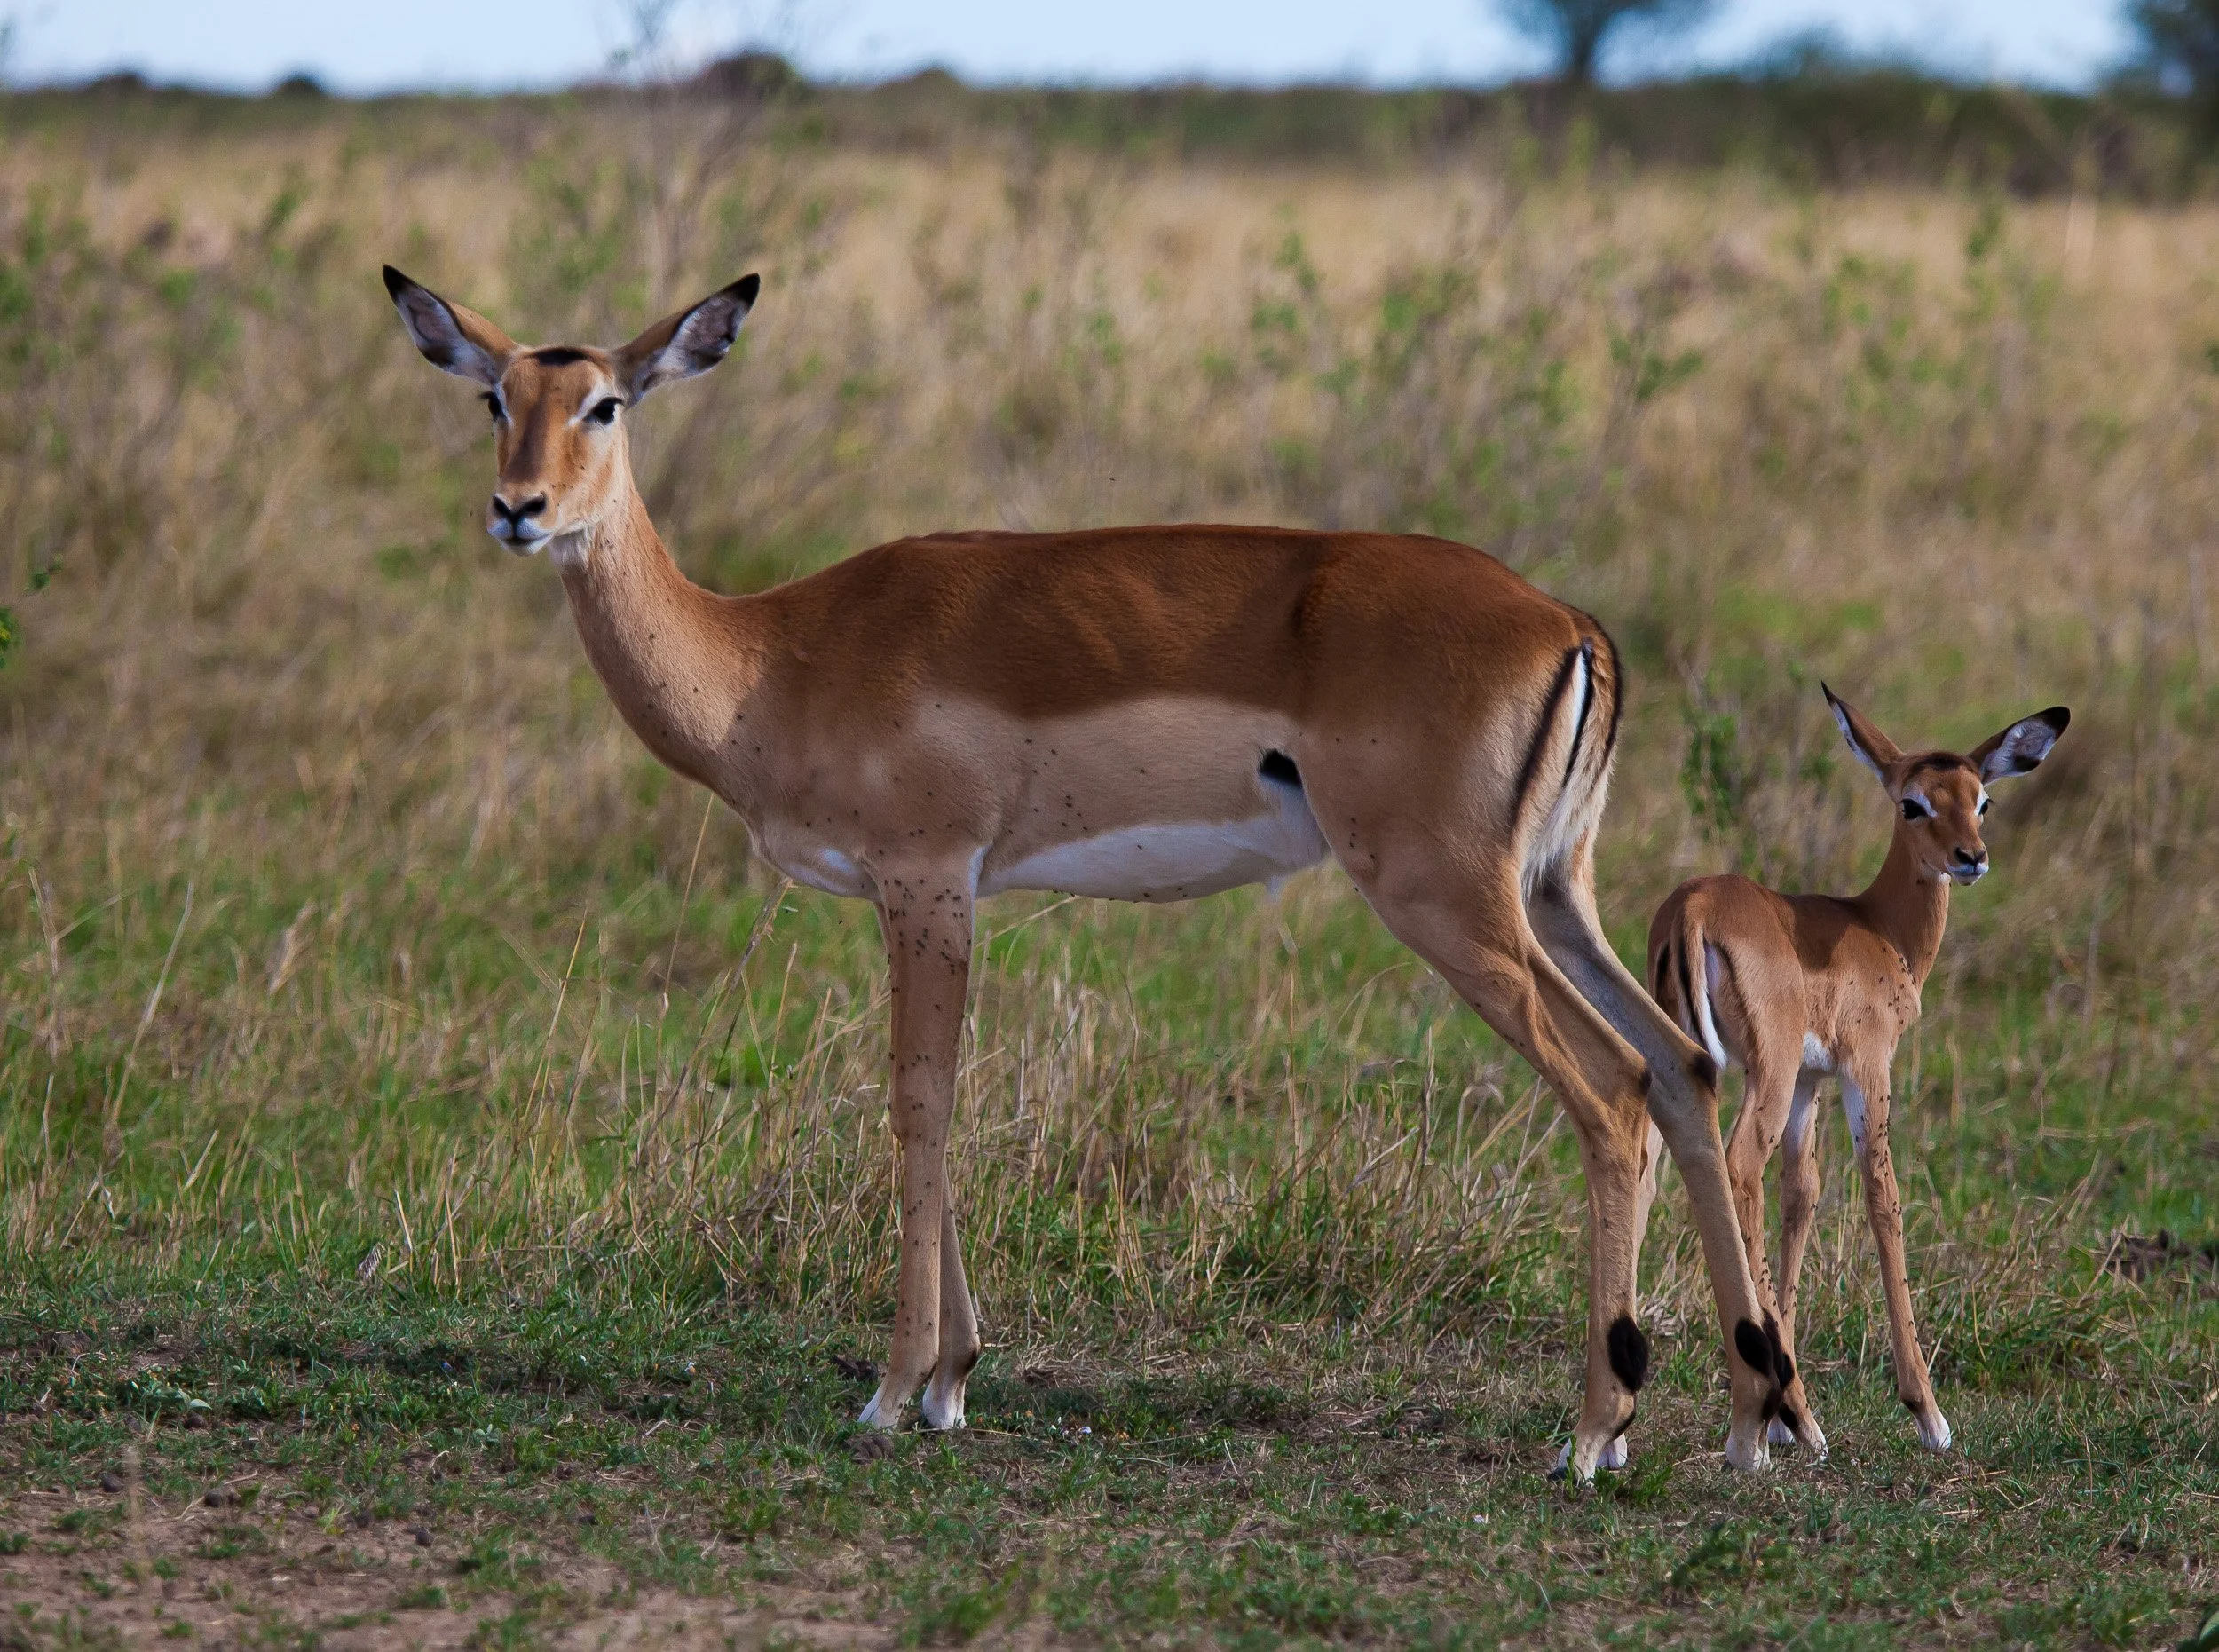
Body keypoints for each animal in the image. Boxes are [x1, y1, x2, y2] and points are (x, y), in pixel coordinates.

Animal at [382, 263, 1801, 1481]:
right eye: (494, 397)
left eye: (605, 402)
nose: (519, 511)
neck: (772, 657)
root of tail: (1571, 625)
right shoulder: (942, 895)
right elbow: (936, 1102)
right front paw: (952, 1379)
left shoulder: (926, 879)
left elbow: (920, 1103)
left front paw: (894, 1389)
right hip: (1555, 894)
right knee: (1684, 1067)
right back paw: (1752, 1417)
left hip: (1446, 899)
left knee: (1612, 1089)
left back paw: (1596, 1430)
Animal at [1645, 685, 2067, 1457]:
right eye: (1913, 802)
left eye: (1982, 798)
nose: (1971, 857)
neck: (1877, 931)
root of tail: (1691, 908)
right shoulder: (1866, 1069)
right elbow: (1883, 1195)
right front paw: (1927, 1411)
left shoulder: (1810, 1084)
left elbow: (1802, 1195)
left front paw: (1791, 1414)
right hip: (1765, 1070)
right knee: (1736, 1163)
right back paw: (1768, 1426)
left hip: (1688, 1060)